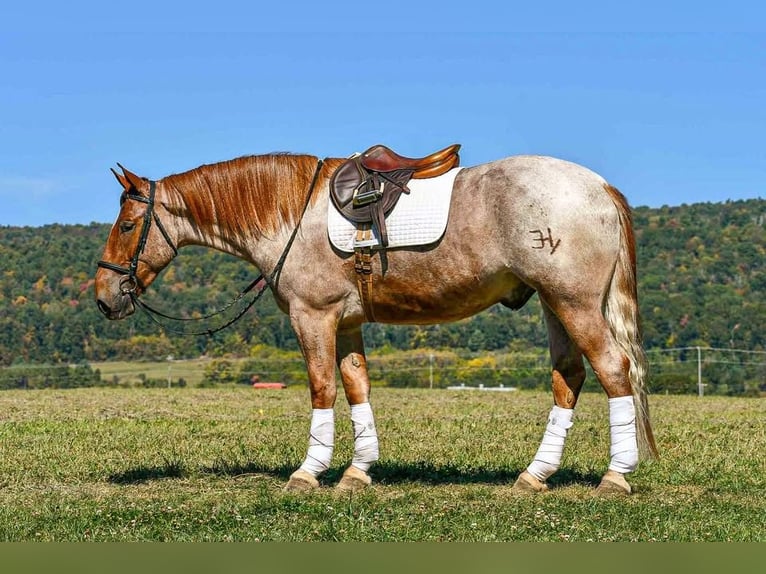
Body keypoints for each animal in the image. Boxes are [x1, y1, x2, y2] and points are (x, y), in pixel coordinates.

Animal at [94, 150, 658, 495]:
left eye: (127, 225)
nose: (103, 297)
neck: (291, 214)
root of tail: (600, 187)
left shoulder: (313, 316)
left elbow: (322, 388)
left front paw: (309, 471)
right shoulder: (346, 323)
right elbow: (356, 386)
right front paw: (357, 471)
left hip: (573, 302)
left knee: (613, 369)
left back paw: (615, 475)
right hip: (553, 303)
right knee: (570, 375)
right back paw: (535, 474)